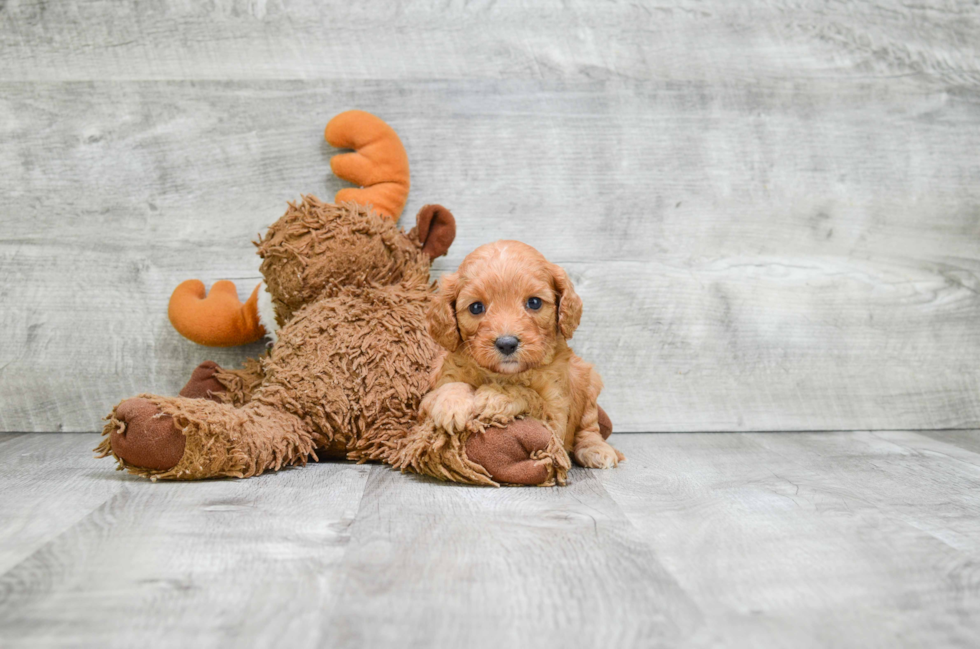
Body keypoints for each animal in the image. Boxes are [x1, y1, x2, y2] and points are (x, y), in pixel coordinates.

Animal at [424, 238, 624, 470]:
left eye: (534, 303)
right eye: (476, 307)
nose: (507, 344)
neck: (504, 374)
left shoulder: (555, 418)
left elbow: (528, 395)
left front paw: (494, 395)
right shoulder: (429, 396)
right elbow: (447, 389)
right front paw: (450, 403)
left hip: (588, 381)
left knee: (589, 427)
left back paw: (596, 450)